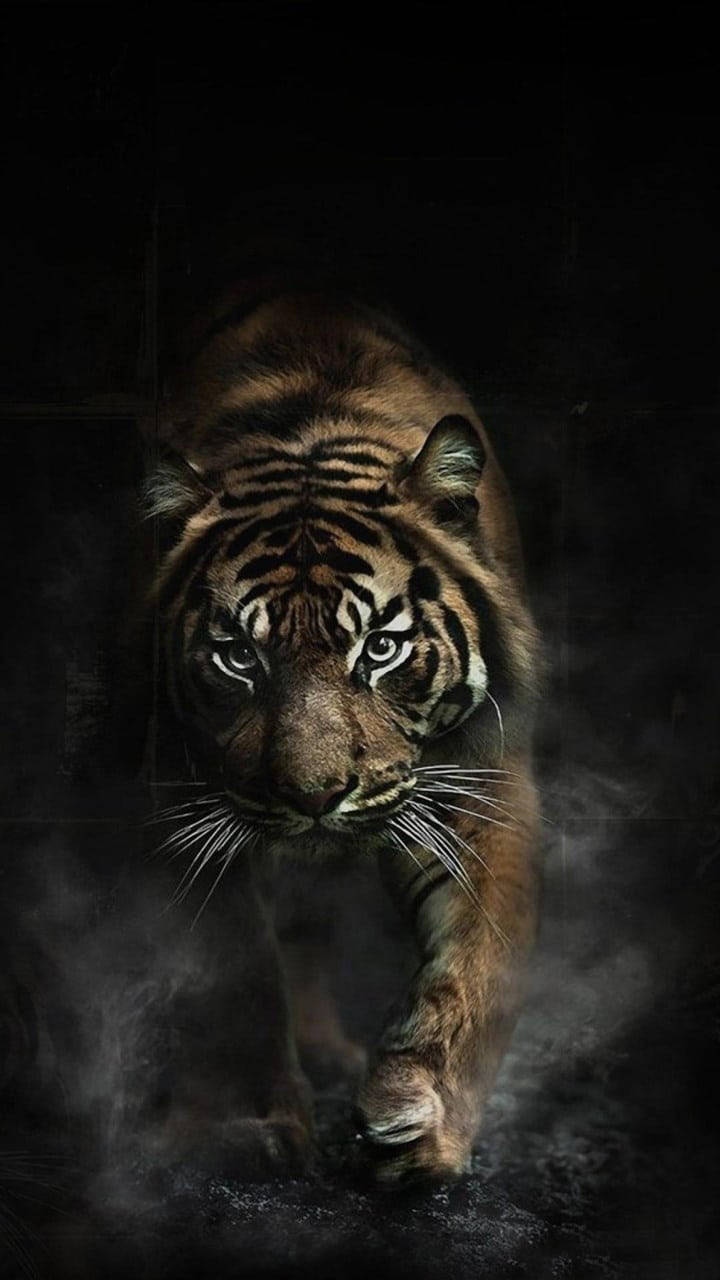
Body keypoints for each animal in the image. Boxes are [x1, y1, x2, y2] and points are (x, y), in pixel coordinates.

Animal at [142, 278, 542, 1185]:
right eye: (238, 656)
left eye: (381, 647)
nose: (315, 795)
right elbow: (236, 969)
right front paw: (249, 1127)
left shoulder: (481, 778)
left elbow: (481, 960)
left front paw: (422, 1121)